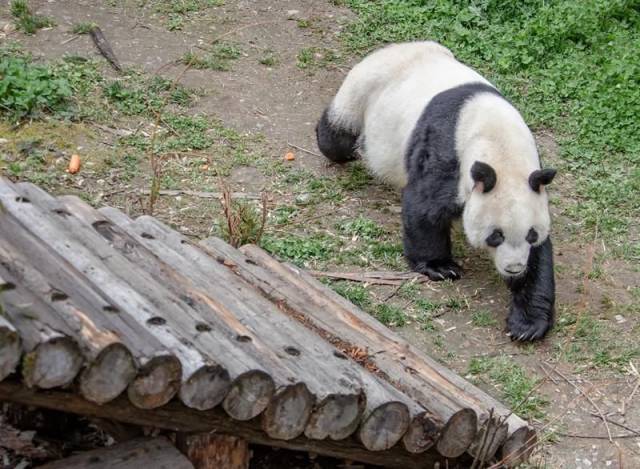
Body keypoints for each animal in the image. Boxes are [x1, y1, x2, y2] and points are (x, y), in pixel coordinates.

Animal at [318, 41, 556, 340]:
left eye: (530, 234)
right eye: (496, 236)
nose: (513, 269)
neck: (500, 145)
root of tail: (398, 46)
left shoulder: (530, 186)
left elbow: (540, 256)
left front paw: (527, 324)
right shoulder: (448, 155)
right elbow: (424, 208)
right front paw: (441, 267)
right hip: (361, 91)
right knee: (337, 133)